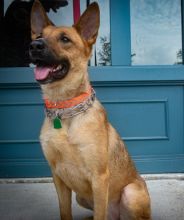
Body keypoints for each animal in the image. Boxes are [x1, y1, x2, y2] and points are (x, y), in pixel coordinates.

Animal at [29, 0, 152, 219]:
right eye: (38, 36)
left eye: (65, 39)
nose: (35, 45)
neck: (64, 109)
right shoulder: (58, 177)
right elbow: (65, 212)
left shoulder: (99, 178)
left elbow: (99, 214)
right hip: (81, 197)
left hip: (131, 193)